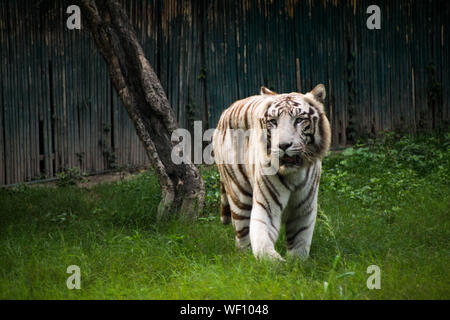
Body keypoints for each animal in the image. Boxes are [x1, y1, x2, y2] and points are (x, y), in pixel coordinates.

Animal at [211, 84, 330, 260]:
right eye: (273, 122)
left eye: (299, 120)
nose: (283, 145)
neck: (294, 174)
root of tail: (226, 110)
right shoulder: (266, 205)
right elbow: (262, 239)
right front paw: (274, 262)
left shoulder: (304, 208)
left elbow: (300, 240)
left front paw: (296, 262)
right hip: (238, 194)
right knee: (242, 236)